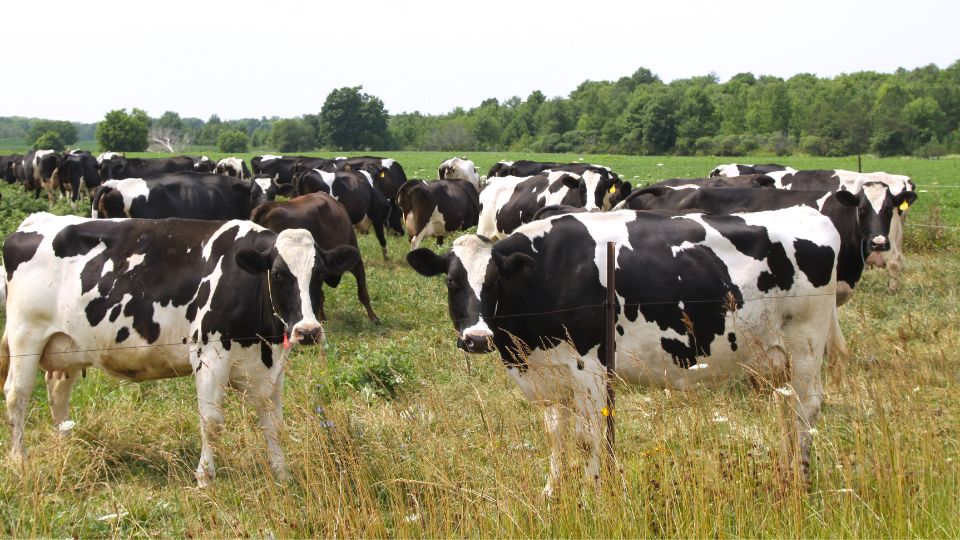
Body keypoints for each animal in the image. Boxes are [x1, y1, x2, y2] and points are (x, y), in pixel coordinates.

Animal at [0, 211, 360, 486]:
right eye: (279, 274)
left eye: (319, 275)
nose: (308, 331)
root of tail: (34, 221)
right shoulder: (209, 356)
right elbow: (211, 423)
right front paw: (205, 478)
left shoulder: (272, 366)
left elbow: (274, 423)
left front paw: (282, 474)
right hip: (25, 335)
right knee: (17, 394)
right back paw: (20, 459)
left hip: (68, 345)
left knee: (57, 392)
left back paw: (66, 443)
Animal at [408, 209, 844, 496]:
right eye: (451, 281)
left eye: (496, 281)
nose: (477, 338)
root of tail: (808, 212)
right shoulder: (548, 376)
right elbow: (555, 434)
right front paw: (552, 490)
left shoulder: (588, 368)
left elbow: (588, 438)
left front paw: (592, 492)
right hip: (776, 358)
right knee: (786, 408)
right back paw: (787, 469)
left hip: (806, 343)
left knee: (807, 407)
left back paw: (802, 478)